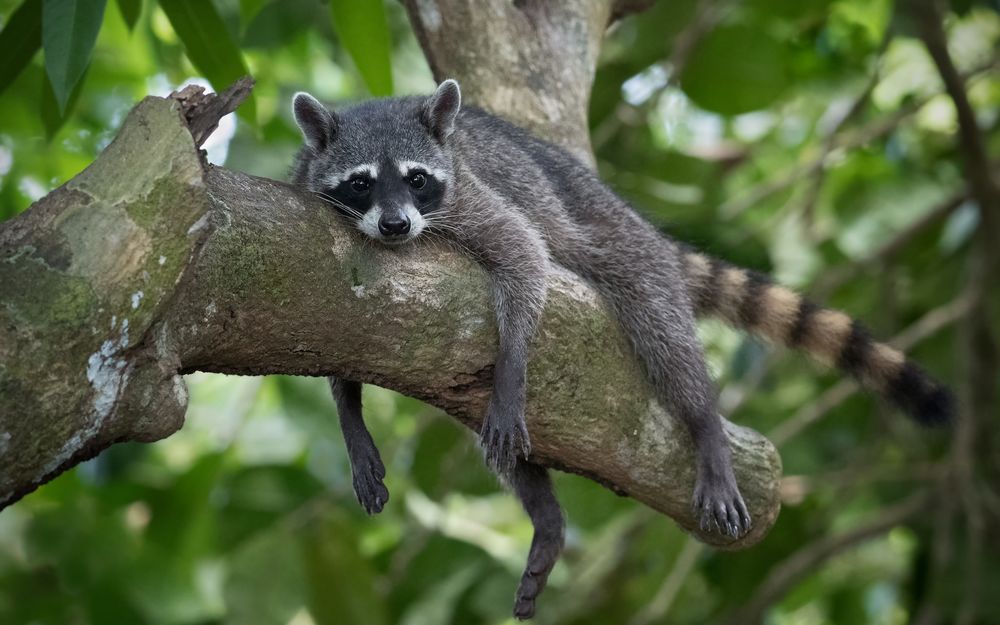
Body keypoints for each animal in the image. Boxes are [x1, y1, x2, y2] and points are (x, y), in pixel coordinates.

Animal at [290, 79, 952, 620]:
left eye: (417, 178)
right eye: (361, 183)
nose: (396, 226)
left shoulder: (472, 199)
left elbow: (525, 255)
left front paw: (511, 370)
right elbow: (331, 335)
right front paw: (350, 414)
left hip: (628, 250)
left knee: (666, 335)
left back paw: (705, 425)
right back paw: (543, 509)